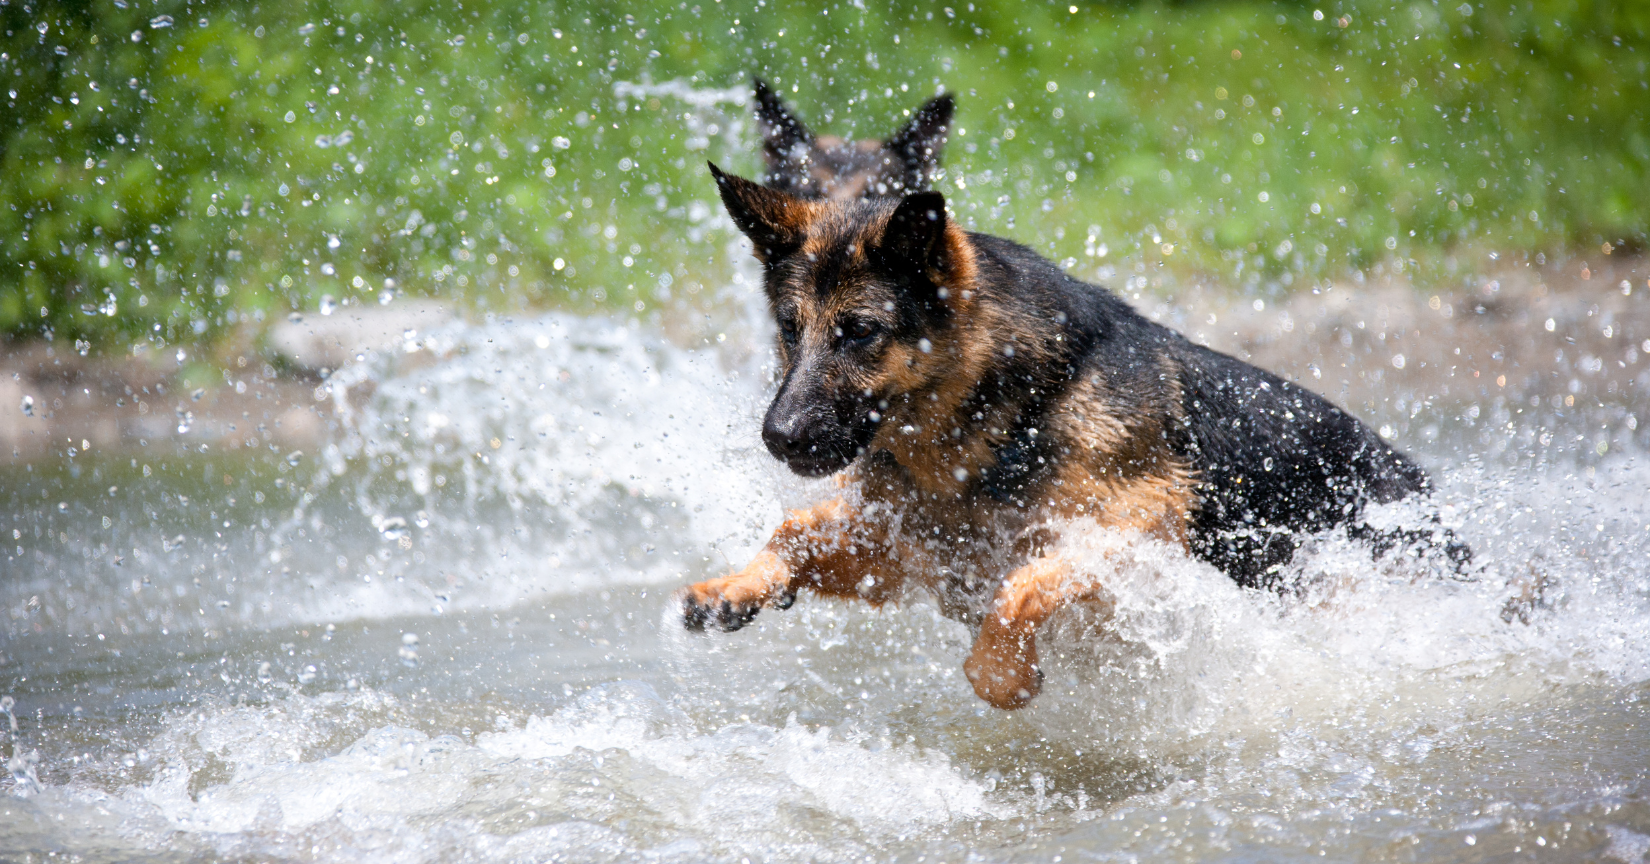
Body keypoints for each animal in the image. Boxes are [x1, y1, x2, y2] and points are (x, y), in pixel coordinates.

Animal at [683, 164, 1471, 709]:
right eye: (791, 328)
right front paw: (737, 585)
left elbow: (1023, 586)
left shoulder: (1134, 524)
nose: (778, 437)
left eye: (860, 332)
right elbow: (792, 527)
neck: (1006, 409)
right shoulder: (915, 544)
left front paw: (1002, 677)